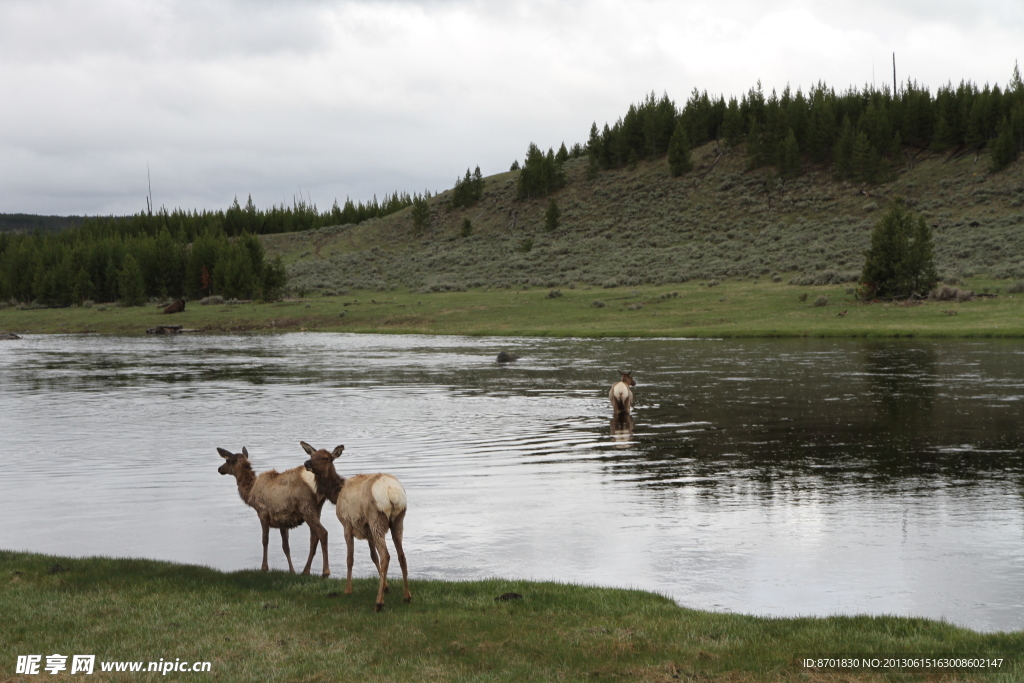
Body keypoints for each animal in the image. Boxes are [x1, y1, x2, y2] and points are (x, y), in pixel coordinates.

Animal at [218, 448, 329, 577]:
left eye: (227, 460)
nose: (219, 469)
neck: (250, 493)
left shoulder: (262, 512)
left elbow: (265, 540)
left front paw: (264, 567)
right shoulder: (283, 520)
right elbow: (286, 546)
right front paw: (292, 571)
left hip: (306, 506)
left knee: (323, 533)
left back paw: (324, 572)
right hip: (317, 509)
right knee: (314, 538)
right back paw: (306, 571)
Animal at [299, 444, 409, 614]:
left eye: (325, 458)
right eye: (312, 455)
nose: (307, 463)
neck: (336, 495)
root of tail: (392, 493)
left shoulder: (347, 524)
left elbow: (350, 558)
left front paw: (348, 589)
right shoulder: (367, 529)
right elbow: (373, 556)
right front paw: (386, 586)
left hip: (376, 519)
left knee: (386, 556)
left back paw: (378, 603)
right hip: (398, 521)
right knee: (401, 555)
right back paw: (407, 596)